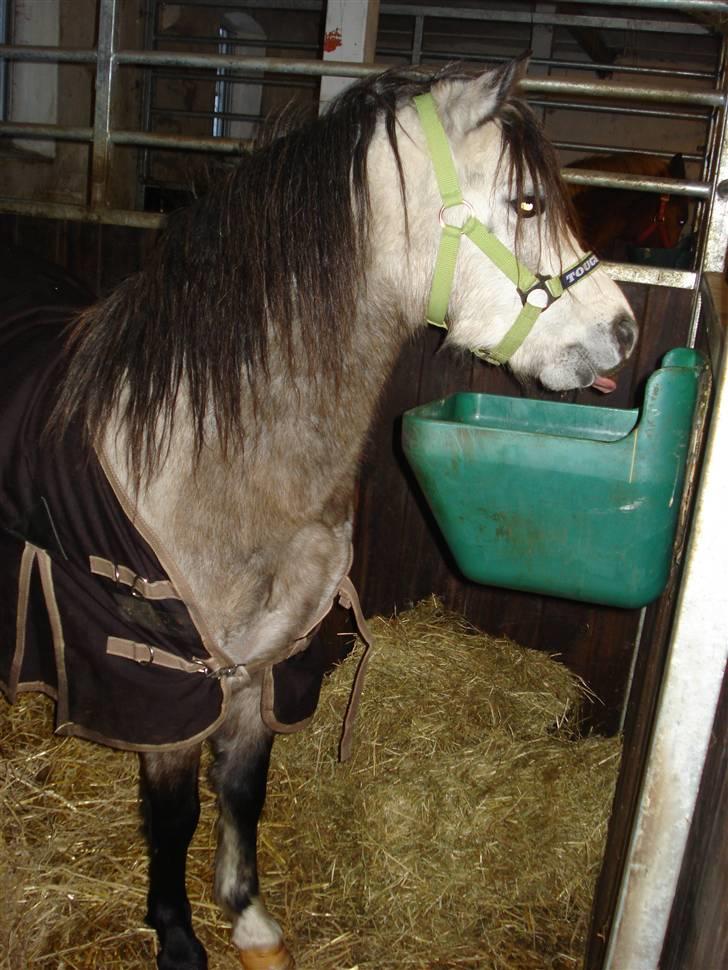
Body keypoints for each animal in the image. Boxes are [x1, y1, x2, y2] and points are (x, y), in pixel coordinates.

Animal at [0, 59, 636, 970]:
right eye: (526, 204)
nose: (623, 331)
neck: (209, 458)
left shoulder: (265, 664)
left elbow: (241, 787)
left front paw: (248, 918)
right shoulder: (164, 683)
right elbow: (174, 816)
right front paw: (179, 937)